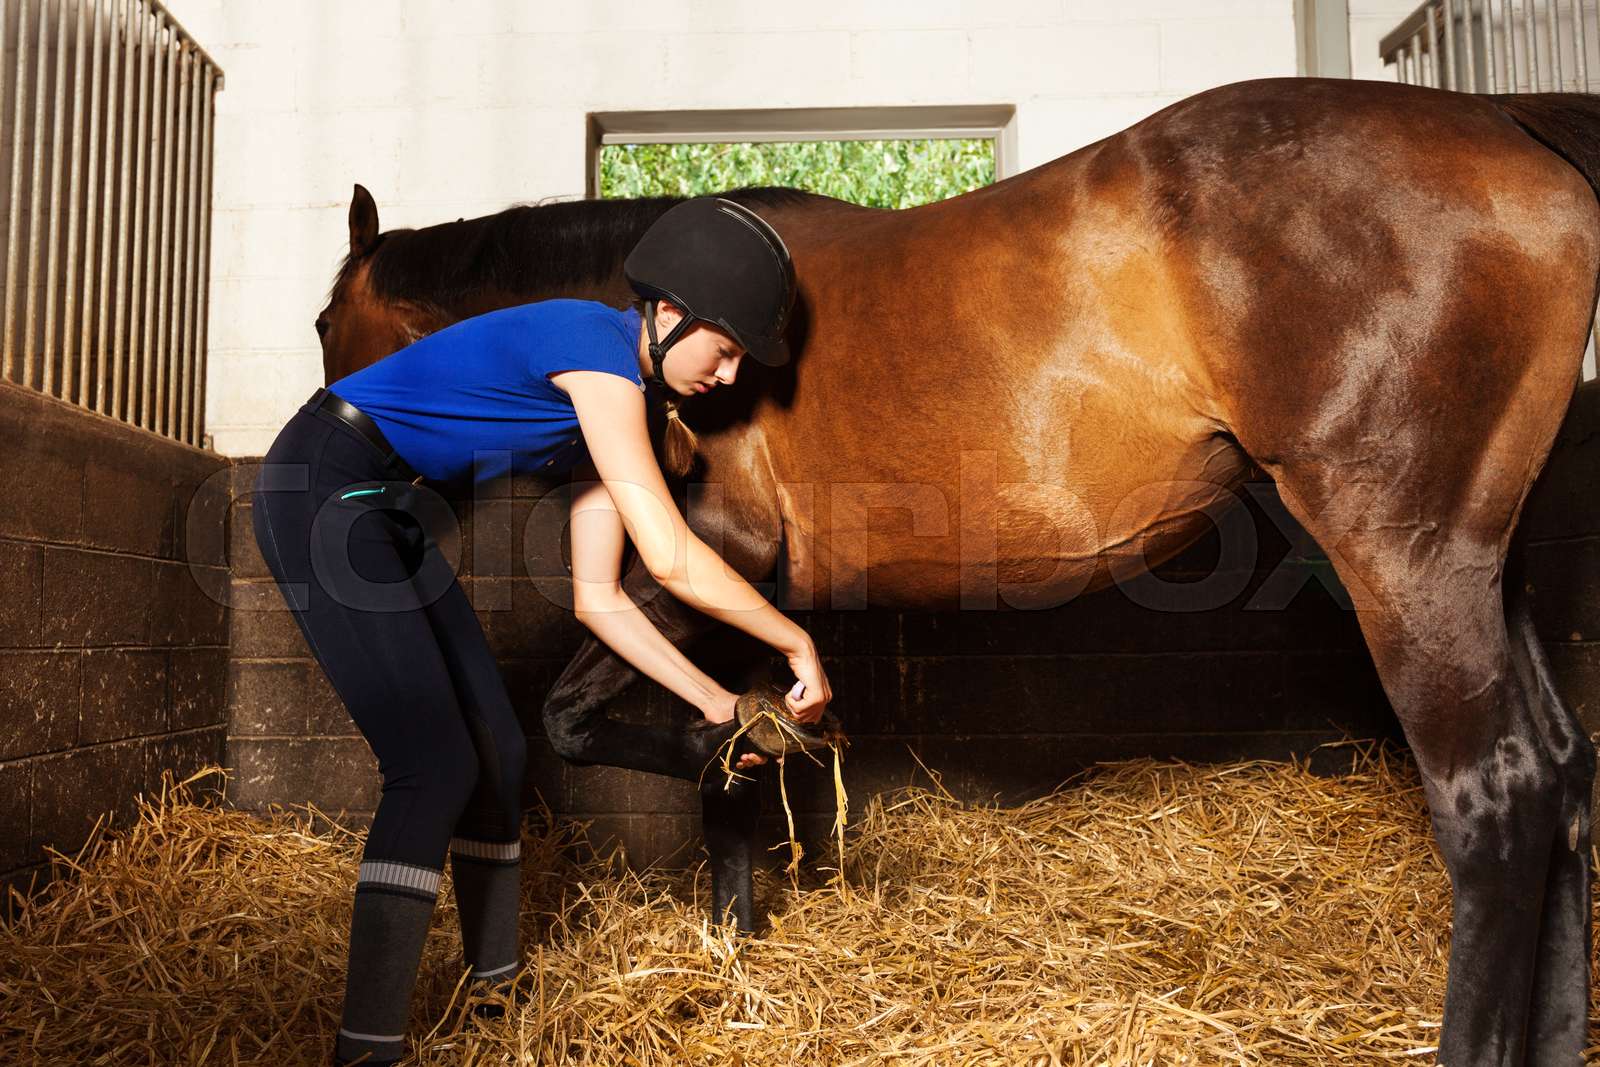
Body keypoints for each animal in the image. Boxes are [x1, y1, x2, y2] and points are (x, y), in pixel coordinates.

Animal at [311, 76, 1600, 1064]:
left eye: (328, 325)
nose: (368, 487)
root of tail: (1506, 128)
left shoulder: (713, 555)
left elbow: (581, 715)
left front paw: (744, 777)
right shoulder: (741, 589)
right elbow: (716, 727)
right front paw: (740, 883)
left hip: (1401, 555)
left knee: (1492, 799)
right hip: (1487, 568)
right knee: (1561, 777)